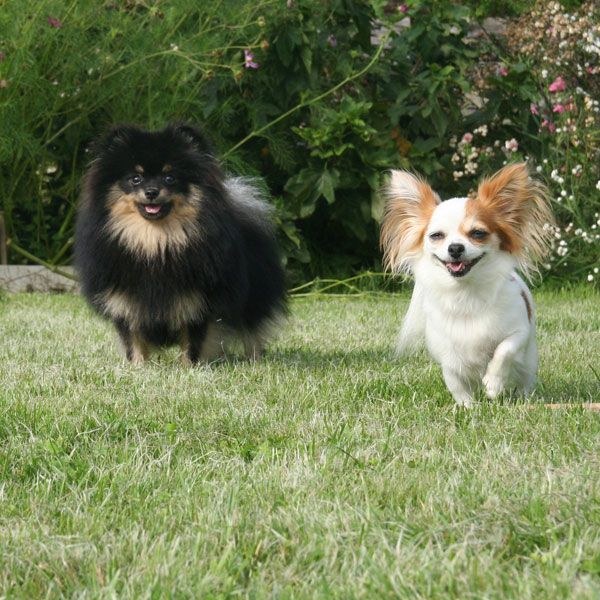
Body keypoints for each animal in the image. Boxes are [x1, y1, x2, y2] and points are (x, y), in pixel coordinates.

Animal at [74, 123, 286, 364]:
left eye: (170, 177)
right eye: (136, 178)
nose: (151, 192)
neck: (154, 242)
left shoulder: (198, 303)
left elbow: (193, 342)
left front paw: (189, 367)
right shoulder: (123, 302)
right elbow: (132, 341)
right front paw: (137, 367)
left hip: (254, 295)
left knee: (252, 329)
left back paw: (255, 359)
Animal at [380, 162, 554, 407]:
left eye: (478, 233)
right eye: (436, 236)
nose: (455, 248)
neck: (466, 292)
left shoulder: (519, 332)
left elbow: (504, 350)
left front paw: (494, 383)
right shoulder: (447, 353)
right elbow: (455, 382)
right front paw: (467, 408)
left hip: (529, 359)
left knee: (524, 378)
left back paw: (521, 397)